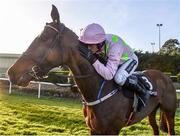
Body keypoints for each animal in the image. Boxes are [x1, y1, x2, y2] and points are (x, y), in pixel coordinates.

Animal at [7, 4, 176, 135]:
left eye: (43, 37)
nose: (11, 72)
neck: (98, 89)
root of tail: (165, 77)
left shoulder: (112, 131)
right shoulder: (93, 129)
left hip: (170, 112)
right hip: (151, 112)